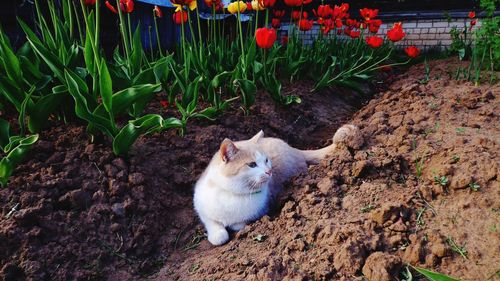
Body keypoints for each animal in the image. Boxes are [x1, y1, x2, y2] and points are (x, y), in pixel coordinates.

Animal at [193, 123, 362, 244]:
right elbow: (212, 223)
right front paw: (218, 233)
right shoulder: (201, 207)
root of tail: (294, 149)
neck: (233, 193)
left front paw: (232, 226)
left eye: (266, 160)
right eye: (252, 165)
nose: (269, 171)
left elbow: (238, 224)